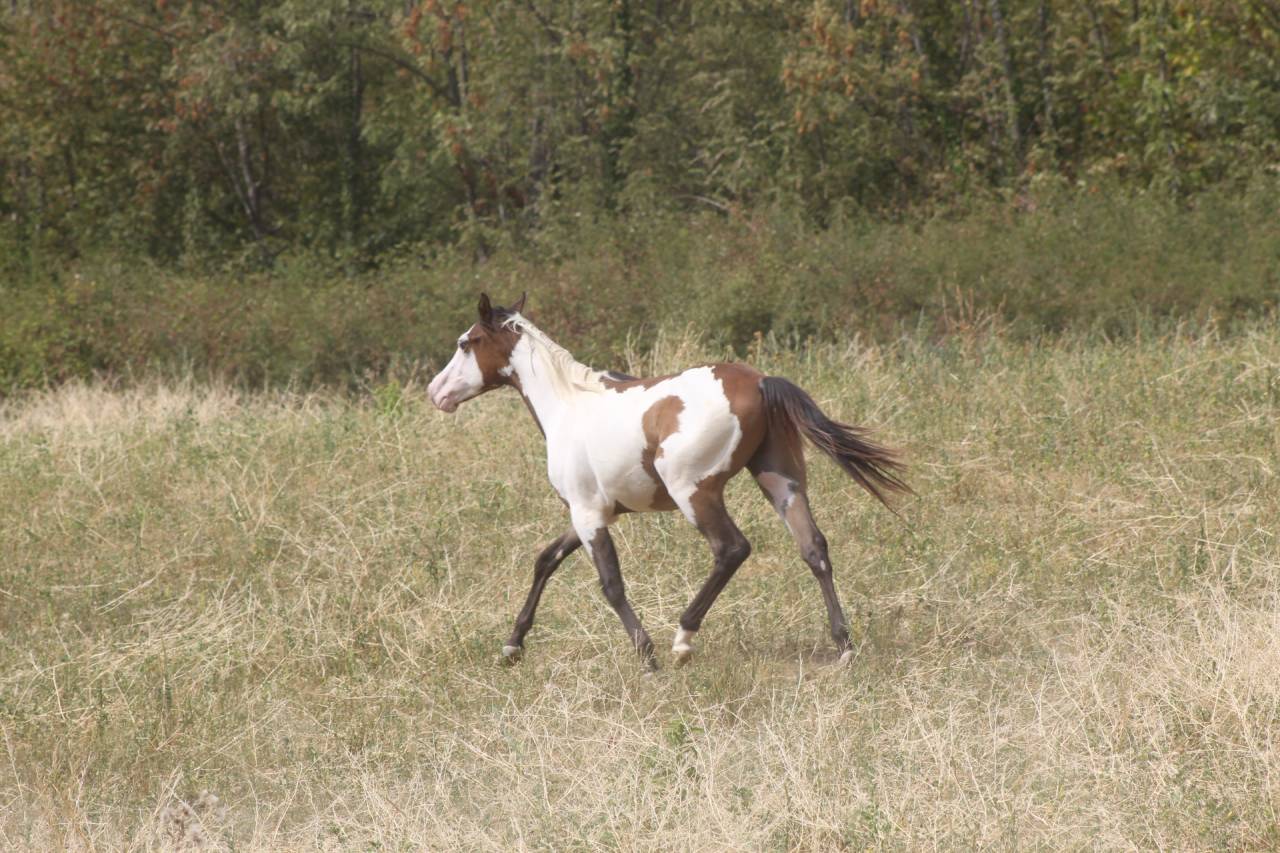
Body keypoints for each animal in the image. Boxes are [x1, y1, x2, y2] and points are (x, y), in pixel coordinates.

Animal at [427, 293, 910, 670]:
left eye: (466, 343)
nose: (436, 392)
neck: (569, 405)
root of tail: (760, 381)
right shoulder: (594, 512)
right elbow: (546, 560)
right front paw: (512, 646)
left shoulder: (588, 514)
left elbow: (610, 584)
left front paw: (647, 655)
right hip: (780, 481)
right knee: (814, 548)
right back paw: (844, 646)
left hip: (693, 492)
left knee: (732, 549)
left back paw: (682, 640)